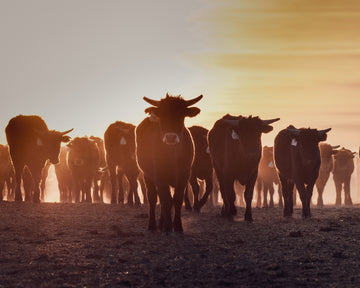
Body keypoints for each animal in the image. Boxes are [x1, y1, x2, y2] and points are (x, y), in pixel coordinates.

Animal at [136, 93, 202, 233]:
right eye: (162, 115)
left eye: (182, 115)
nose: (171, 137)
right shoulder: (159, 175)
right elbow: (166, 200)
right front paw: (167, 227)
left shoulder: (184, 175)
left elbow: (176, 199)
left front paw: (177, 226)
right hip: (147, 175)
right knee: (153, 197)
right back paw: (153, 225)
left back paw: (162, 223)